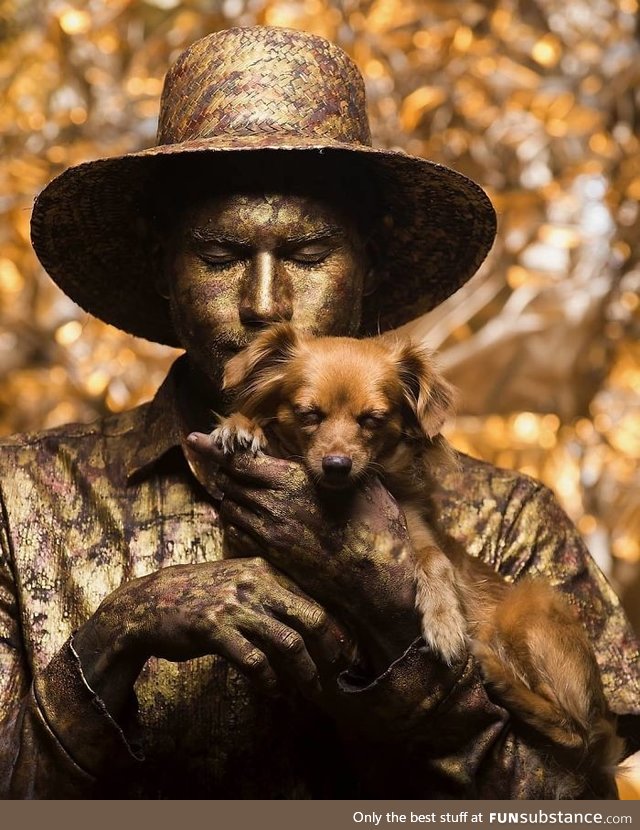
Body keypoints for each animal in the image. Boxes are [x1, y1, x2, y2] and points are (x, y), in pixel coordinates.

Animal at [212, 322, 624, 788]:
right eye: (308, 415)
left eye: (372, 420)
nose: (336, 464)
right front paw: (242, 427)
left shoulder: (419, 536)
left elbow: (434, 561)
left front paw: (443, 622)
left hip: (531, 606)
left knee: (578, 734)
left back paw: (496, 675)